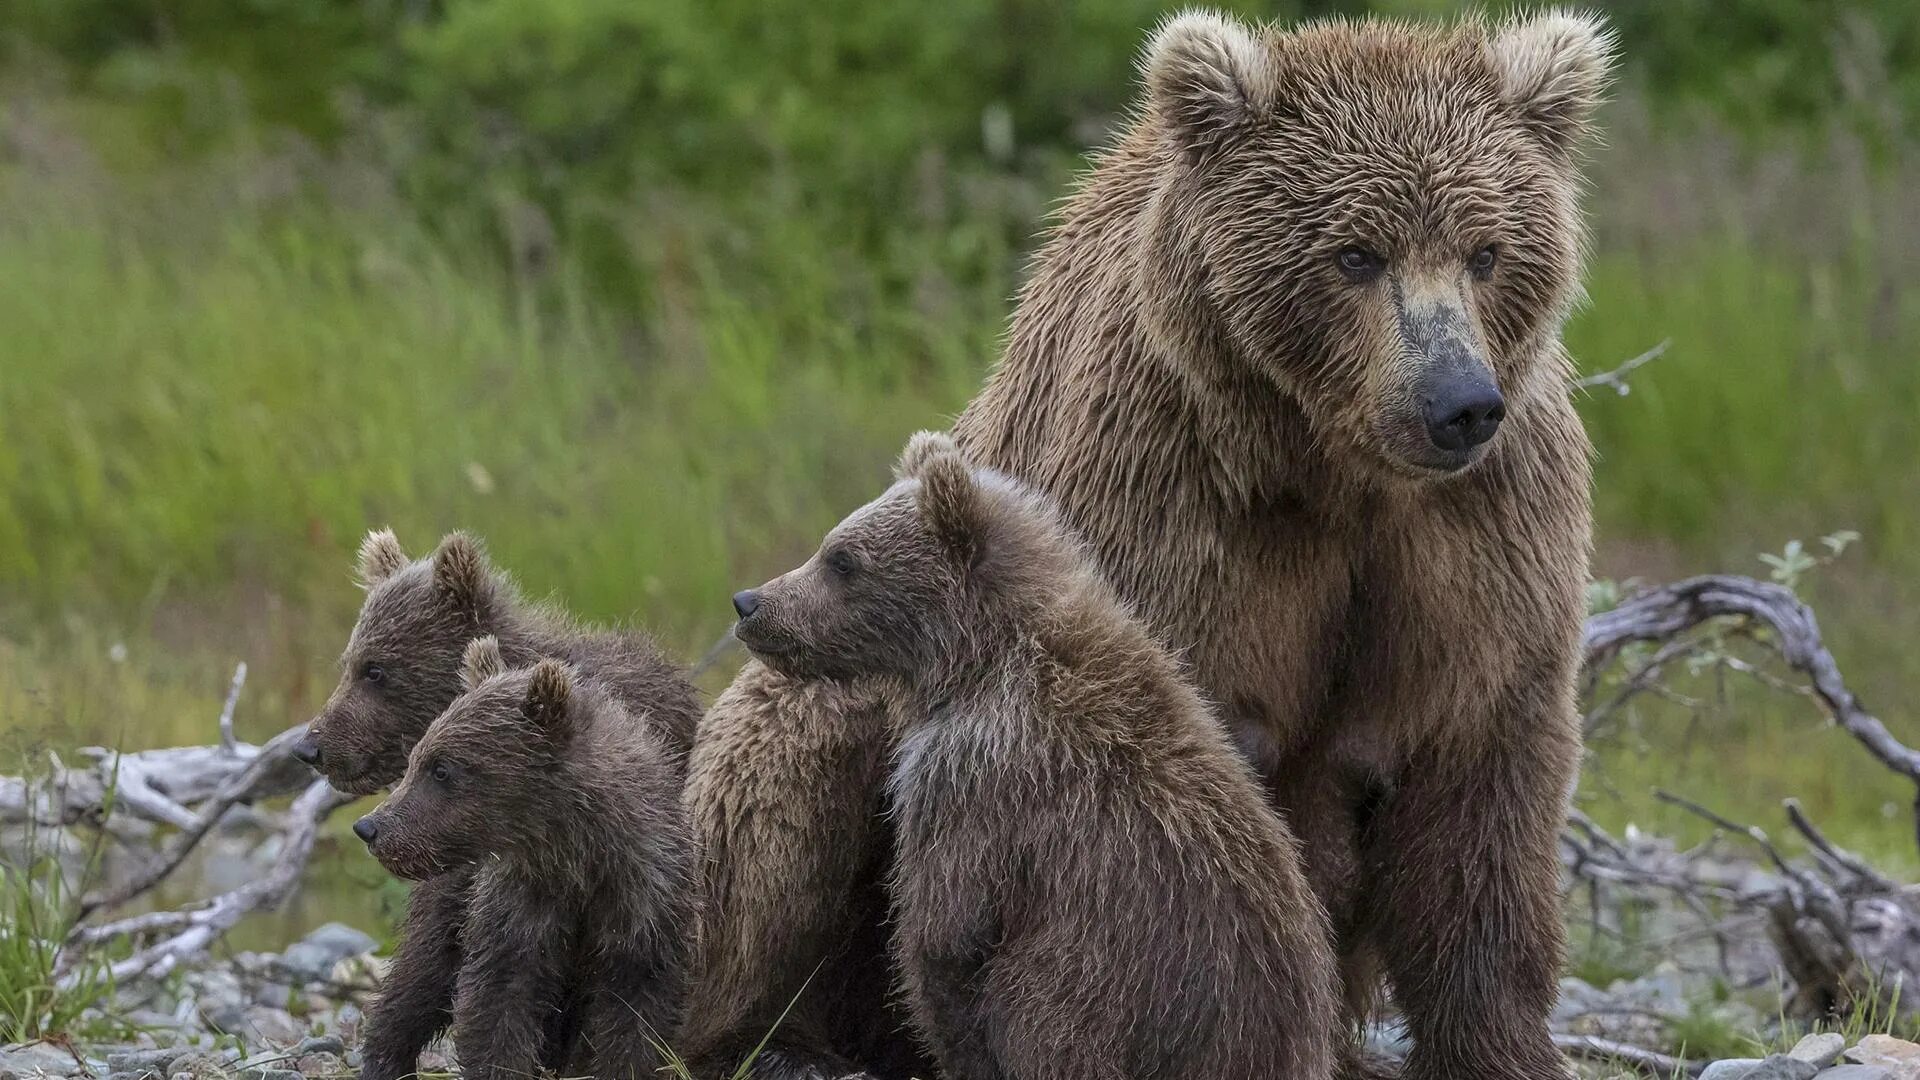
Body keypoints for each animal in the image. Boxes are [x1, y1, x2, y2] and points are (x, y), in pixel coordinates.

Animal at [683, 10, 1612, 1076]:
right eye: (1356, 254)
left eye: (1486, 250)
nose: (1457, 402)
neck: (1333, 470)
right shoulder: (1176, 511)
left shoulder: (1481, 549)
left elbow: (1478, 803)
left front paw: (1499, 1044)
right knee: (776, 819)